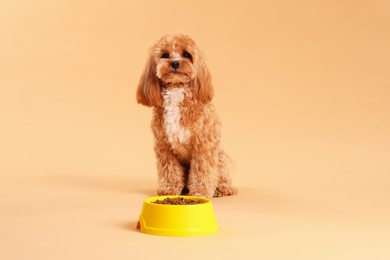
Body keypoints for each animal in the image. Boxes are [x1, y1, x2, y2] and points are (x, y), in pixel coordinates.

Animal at [136, 33, 236, 198]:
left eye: (187, 55)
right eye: (165, 55)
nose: (175, 63)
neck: (177, 90)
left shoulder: (203, 145)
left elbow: (202, 171)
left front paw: (200, 192)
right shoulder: (164, 147)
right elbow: (169, 170)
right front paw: (169, 189)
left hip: (221, 158)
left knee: (222, 176)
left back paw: (222, 188)